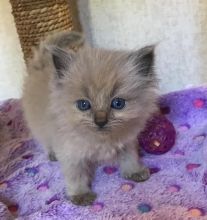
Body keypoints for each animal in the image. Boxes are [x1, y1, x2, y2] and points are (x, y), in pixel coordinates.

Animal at [22, 31, 158, 206]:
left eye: (118, 103)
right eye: (83, 105)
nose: (100, 121)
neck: (100, 140)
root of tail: (41, 64)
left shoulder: (127, 141)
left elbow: (130, 157)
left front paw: (134, 171)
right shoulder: (70, 152)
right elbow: (76, 175)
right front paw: (81, 194)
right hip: (40, 128)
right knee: (46, 142)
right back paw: (52, 154)